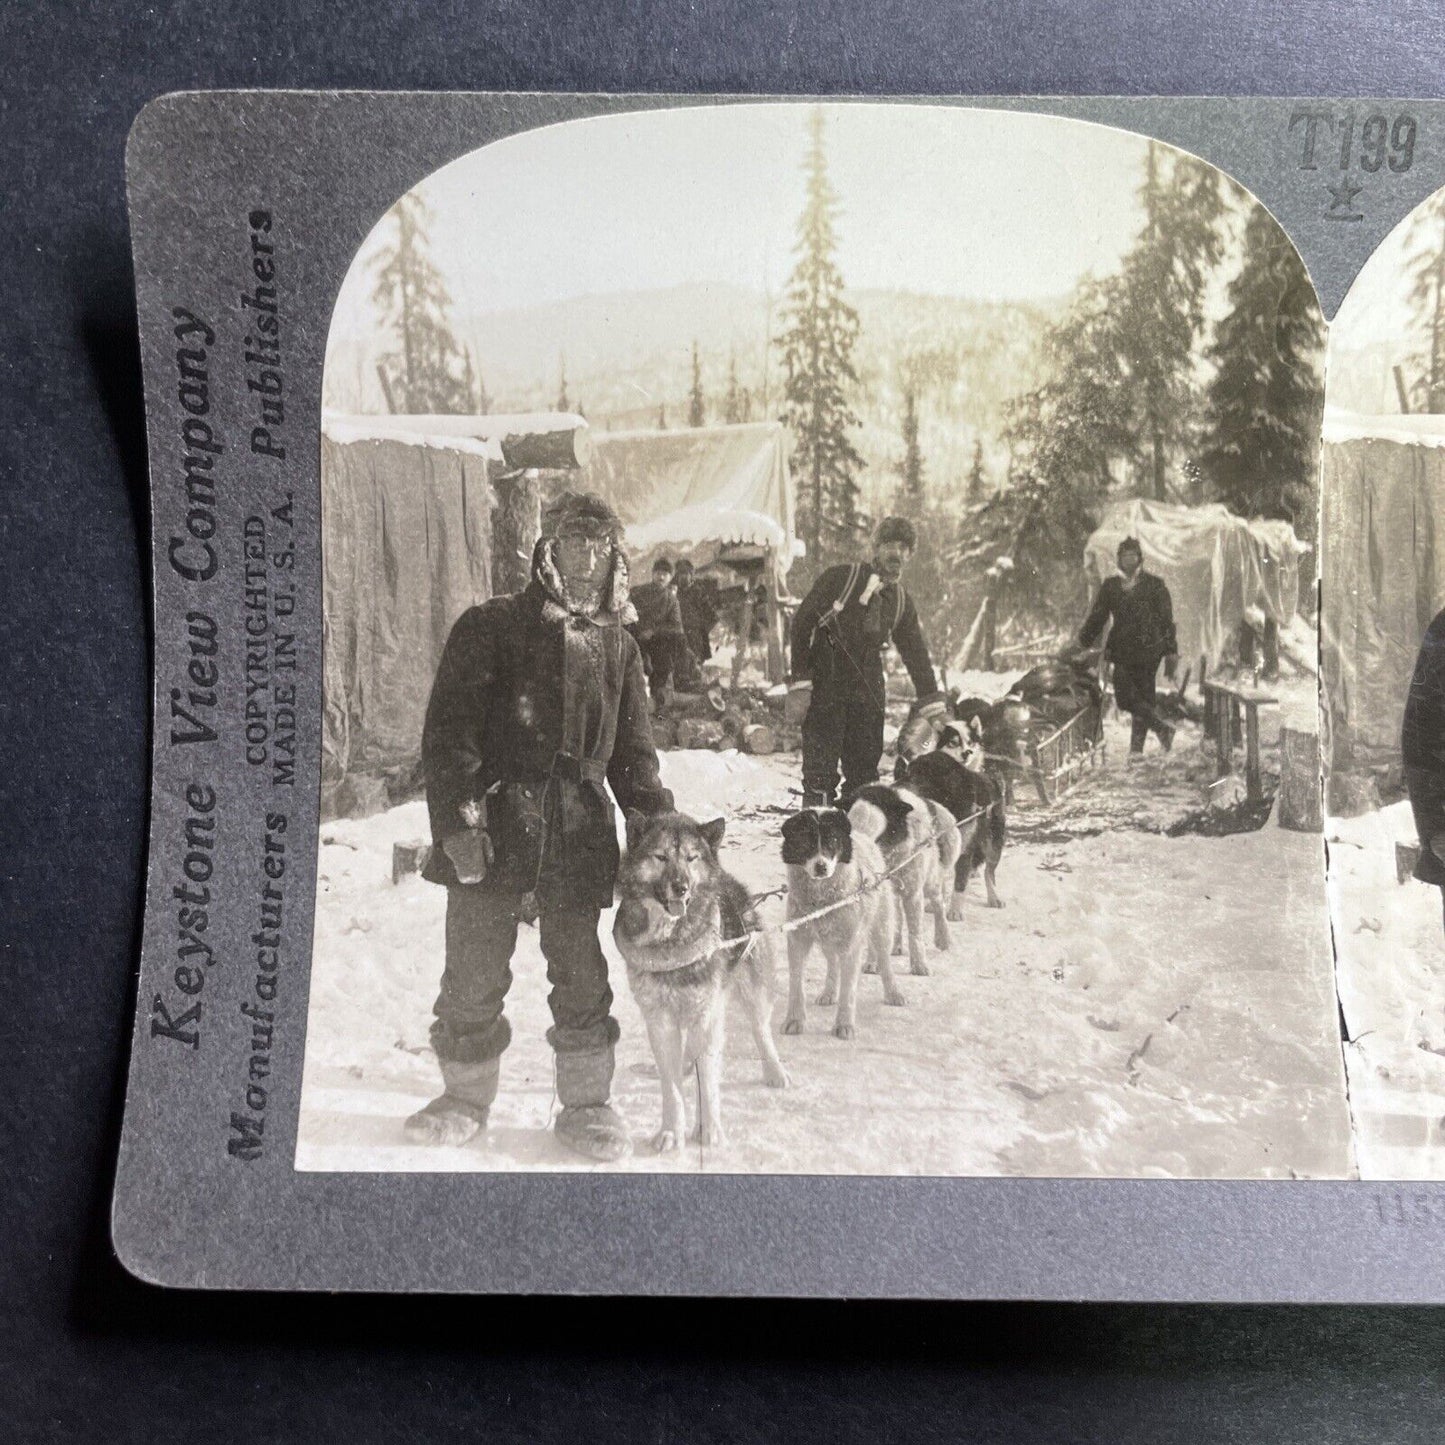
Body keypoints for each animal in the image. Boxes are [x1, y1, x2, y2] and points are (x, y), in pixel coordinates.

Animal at [612, 803, 791, 1150]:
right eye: (661, 857)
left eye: (691, 858)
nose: (681, 887)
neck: (671, 940)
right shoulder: (660, 1021)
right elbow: (671, 1088)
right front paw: (671, 1131)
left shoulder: (706, 1016)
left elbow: (707, 1082)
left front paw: (709, 1130)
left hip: (752, 991)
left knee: (761, 1031)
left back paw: (775, 1071)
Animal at [786, 803, 895, 1040]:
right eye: (806, 840)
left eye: (832, 841)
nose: (821, 867)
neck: (822, 901)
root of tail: (862, 834)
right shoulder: (798, 941)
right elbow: (796, 985)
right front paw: (794, 1020)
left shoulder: (851, 946)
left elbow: (848, 991)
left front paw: (844, 1025)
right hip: (828, 941)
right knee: (832, 964)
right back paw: (829, 992)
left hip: (881, 928)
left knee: (885, 961)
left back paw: (894, 993)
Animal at [843, 786, 959, 976]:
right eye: (851, 824)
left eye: (874, 826)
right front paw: (872, 962)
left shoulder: (913, 893)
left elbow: (915, 933)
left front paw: (919, 965)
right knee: (897, 917)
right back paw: (895, 946)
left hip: (930, 883)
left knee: (938, 904)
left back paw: (944, 938)